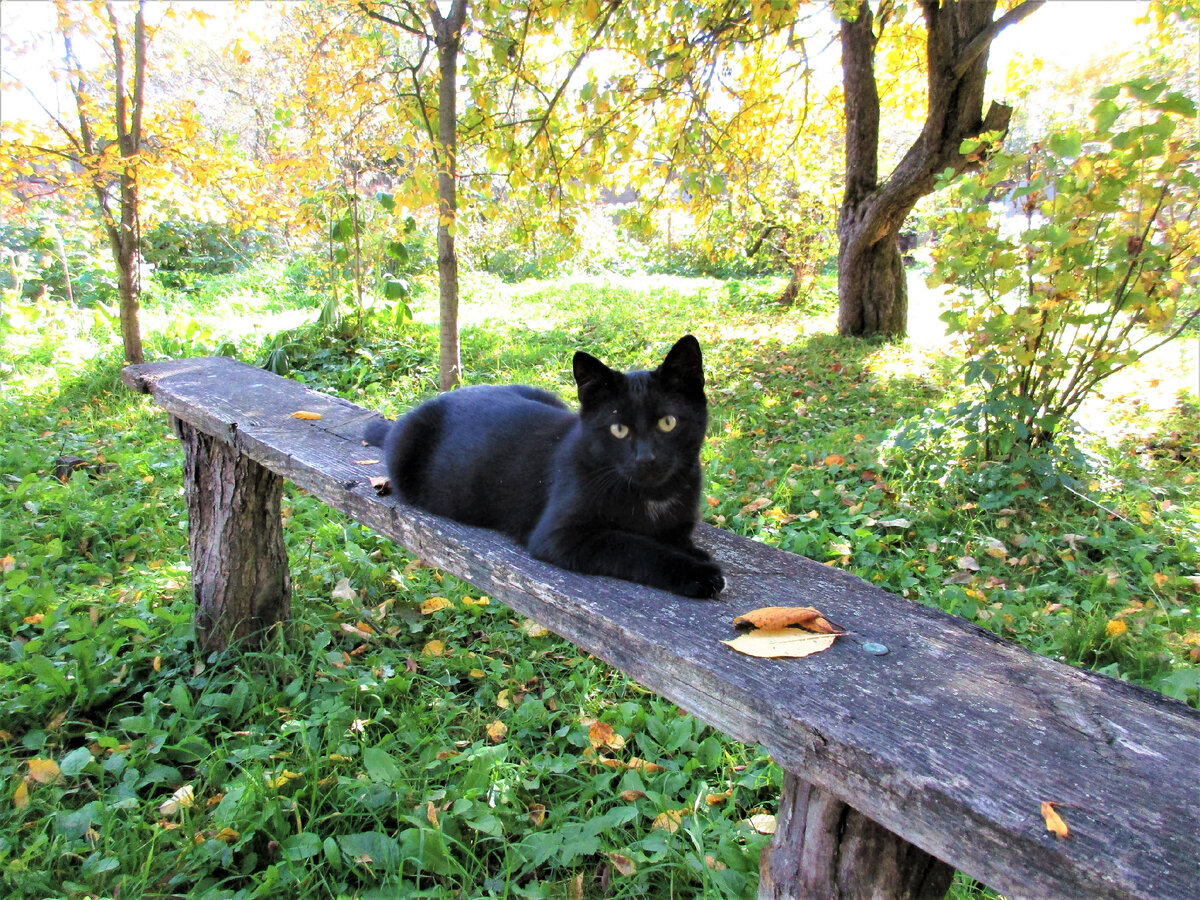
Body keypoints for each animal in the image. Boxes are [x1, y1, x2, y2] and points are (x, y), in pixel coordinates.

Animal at [360, 336, 724, 600]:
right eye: (618, 429)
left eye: (668, 422)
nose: (645, 458)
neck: (653, 495)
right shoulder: (560, 536)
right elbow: (636, 547)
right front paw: (698, 573)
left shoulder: (678, 523)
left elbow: (674, 537)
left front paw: (697, 555)